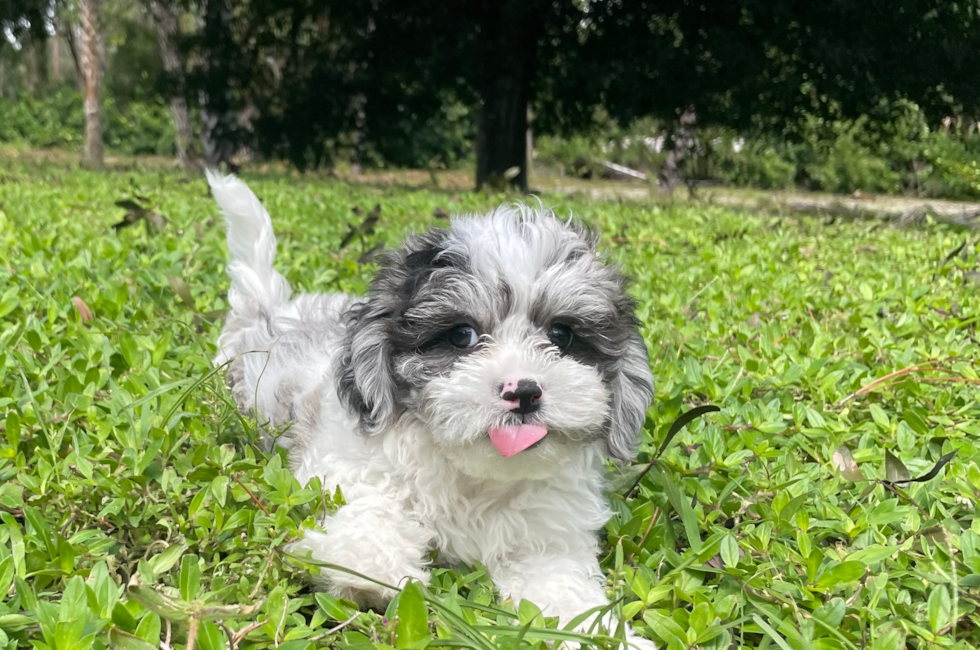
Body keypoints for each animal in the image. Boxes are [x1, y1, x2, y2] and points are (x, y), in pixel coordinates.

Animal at [209, 171, 652, 644]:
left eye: (562, 335)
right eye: (462, 335)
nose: (525, 391)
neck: (476, 478)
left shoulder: (546, 540)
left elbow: (562, 590)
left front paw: (605, 634)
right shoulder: (344, 469)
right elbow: (367, 507)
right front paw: (373, 568)